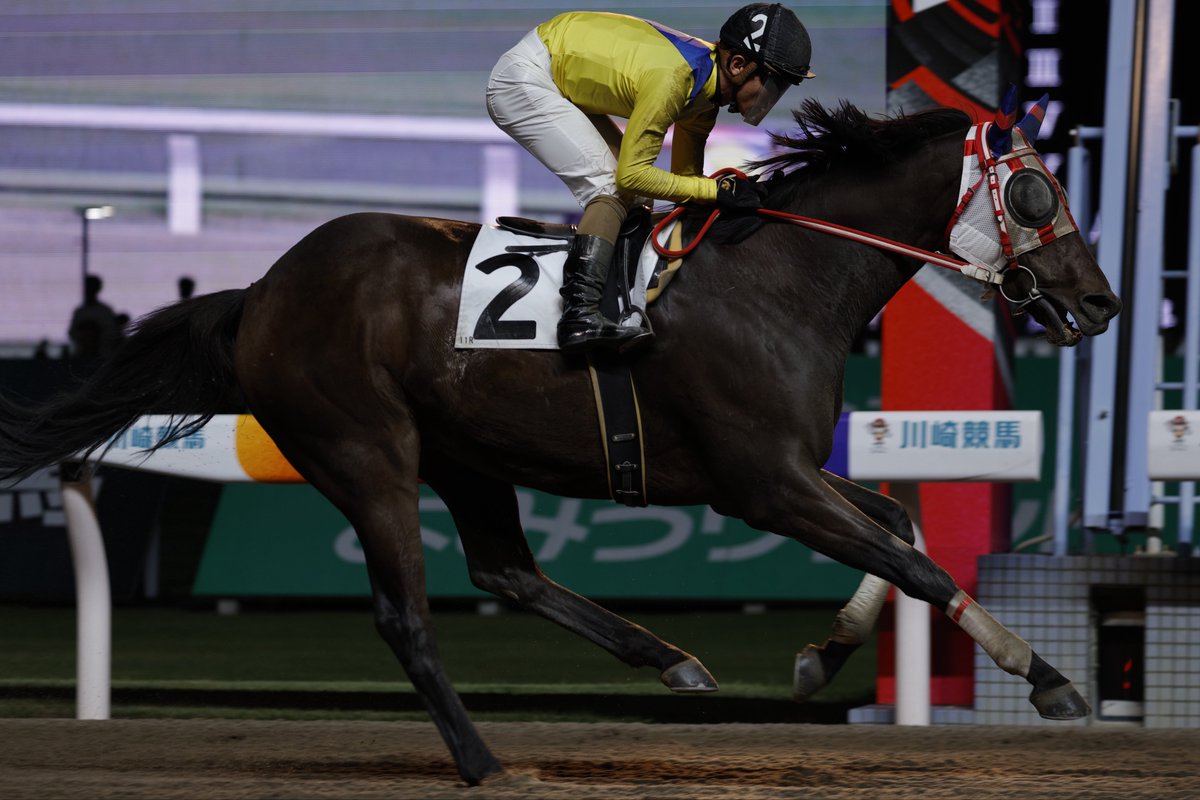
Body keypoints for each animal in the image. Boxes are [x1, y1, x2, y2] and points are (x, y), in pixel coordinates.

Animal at [0, 99, 1120, 786]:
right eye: (1038, 192)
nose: (1102, 302)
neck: (781, 278)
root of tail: (263, 291)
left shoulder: (797, 467)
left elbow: (896, 528)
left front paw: (818, 655)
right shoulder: (760, 481)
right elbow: (913, 562)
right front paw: (1046, 675)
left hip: (465, 454)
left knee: (507, 569)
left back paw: (671, 660)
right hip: (364, 451)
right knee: (406, 616)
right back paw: (485, 761)